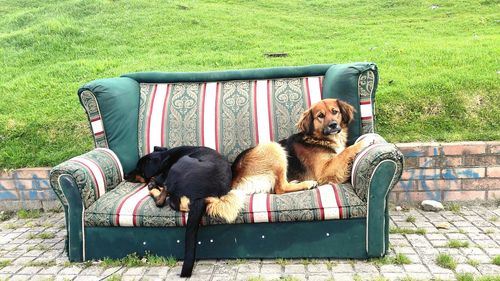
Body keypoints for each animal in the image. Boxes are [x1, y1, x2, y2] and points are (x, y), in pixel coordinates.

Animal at [126, 145, 241, 276]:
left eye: (138, 168)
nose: (125, 175)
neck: (164, 157)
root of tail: (201, 197)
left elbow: (157, 180)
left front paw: (153, 183)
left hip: (182, 162)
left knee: (163, 197)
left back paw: (154, 189)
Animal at [230, 99, 368, 195]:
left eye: (335, 112)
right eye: (320, 116)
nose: (333, 125)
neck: (319, 139)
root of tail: (236, 176)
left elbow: (343, 152)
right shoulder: (323, 171)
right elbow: (346, 151)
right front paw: (364, 142)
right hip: (274, 148)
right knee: (280, 188)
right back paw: (307, 184)